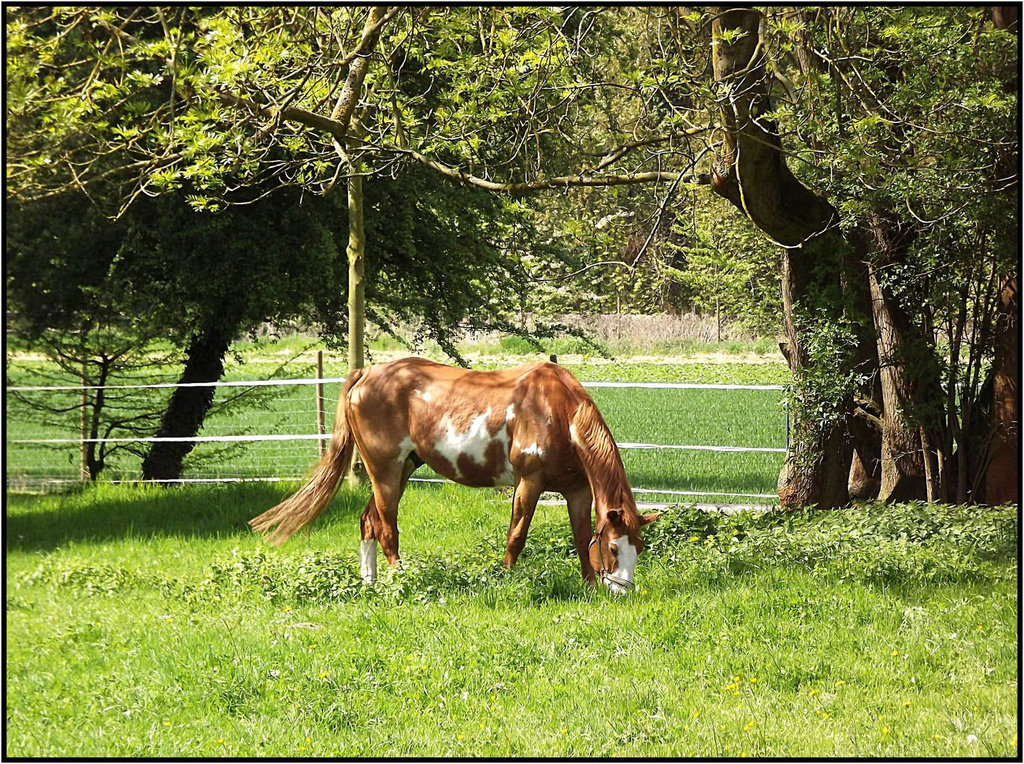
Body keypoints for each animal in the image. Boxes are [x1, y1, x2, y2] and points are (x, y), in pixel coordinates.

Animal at [251, 354, 659, 593]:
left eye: (638, 547)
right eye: (613, 548)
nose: (621, 592)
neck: (557, 412)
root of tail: (365, 374)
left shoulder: (577, 490)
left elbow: (580, 538)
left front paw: (589, 589)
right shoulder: (529, 483)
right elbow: (516, 536)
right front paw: (507, 581)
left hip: (402, 469)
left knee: (368, 521)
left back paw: (370, 583)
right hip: (385, 472)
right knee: (386, 528)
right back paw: (400, 581)